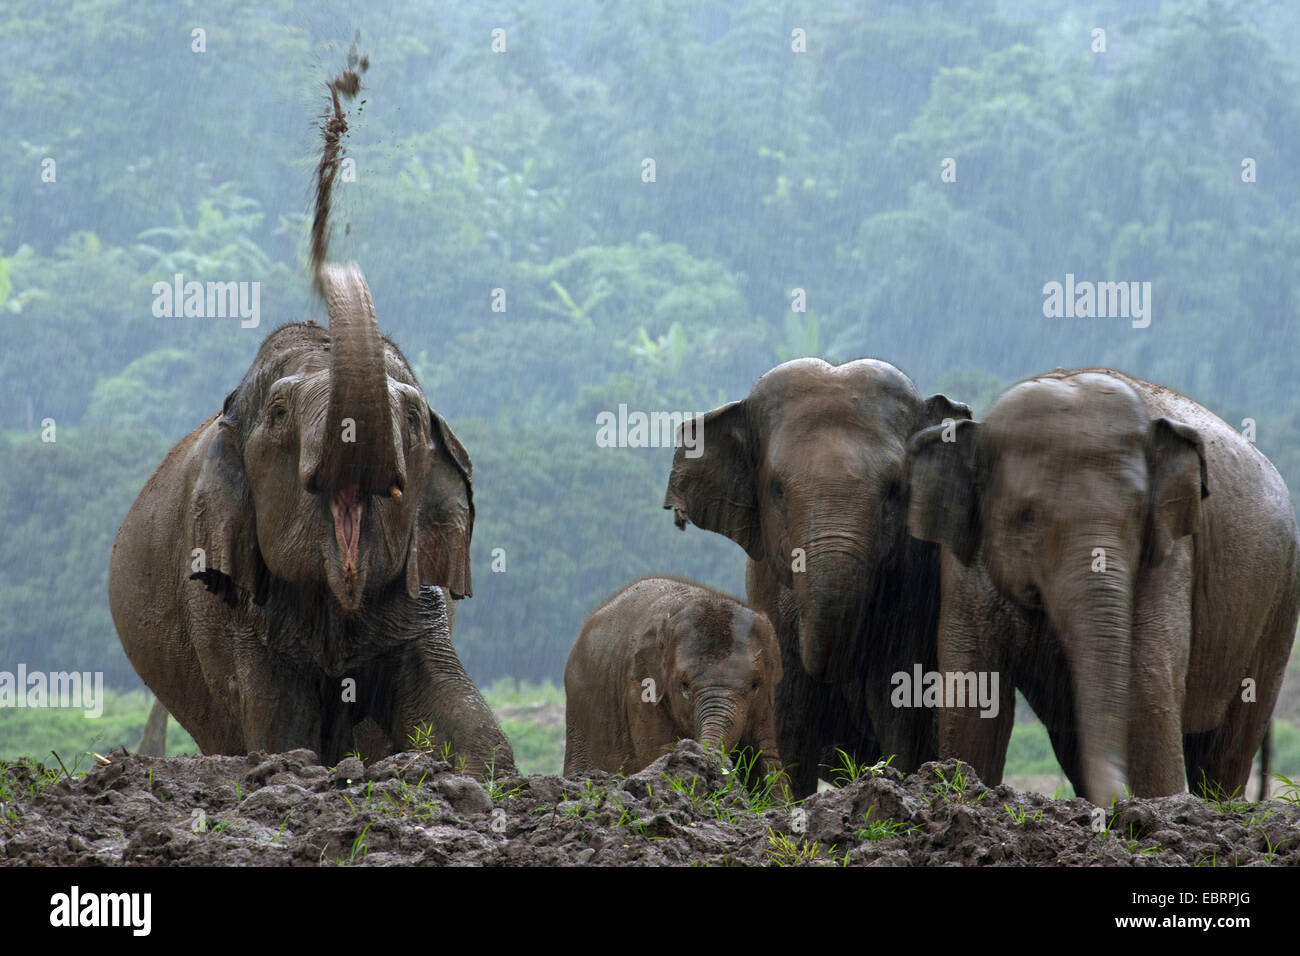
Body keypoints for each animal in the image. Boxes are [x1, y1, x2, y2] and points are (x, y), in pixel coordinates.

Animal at [107, 261, 512, 780]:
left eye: (413, 417)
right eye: (279, 413)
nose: (328, 263)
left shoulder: (416, 602)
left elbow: (464, 722)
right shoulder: (238, 615)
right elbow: (284, 733)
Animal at [904, 369, 1300, 806]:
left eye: (1138, 512)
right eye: (1027, 516)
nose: (1115, 801)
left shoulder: (1169, 556)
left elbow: (1146, 689)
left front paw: (1157, 805)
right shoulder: (963, 570)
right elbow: (973, 697)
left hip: (1280, 601)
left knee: (1230, 742)